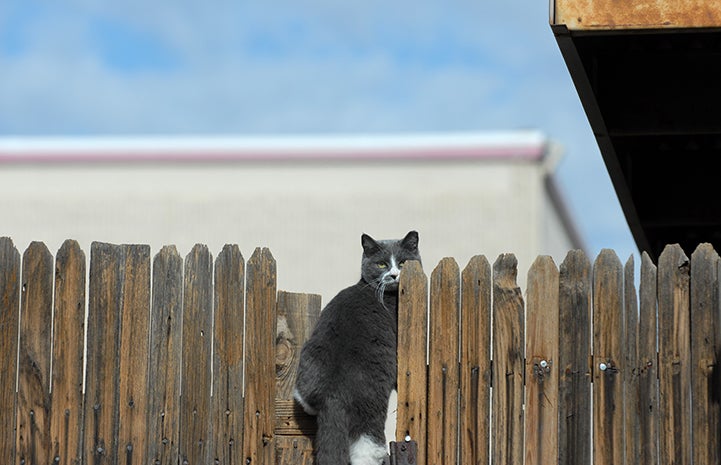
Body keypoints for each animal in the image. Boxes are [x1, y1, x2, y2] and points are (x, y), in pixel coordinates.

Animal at [292, 231, 420, 464]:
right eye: (381, 264)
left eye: (403, 262)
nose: (394, 275)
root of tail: (331, 396)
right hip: (372, 405)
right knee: (366, 445)